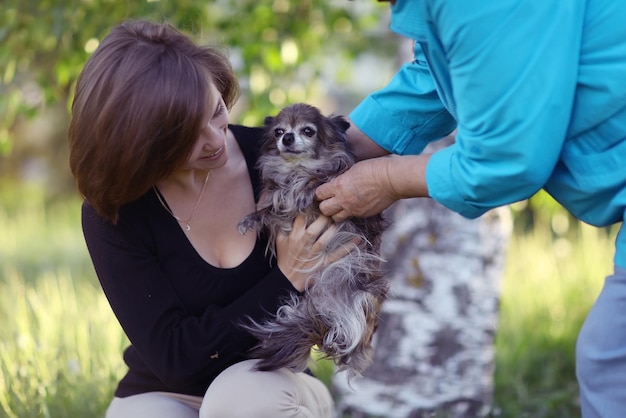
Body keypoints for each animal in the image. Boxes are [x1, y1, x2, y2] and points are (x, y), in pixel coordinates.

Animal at [238, 103, 388, 376]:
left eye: (307, 131)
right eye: (278, 132)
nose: (287, 138)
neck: (297, 168)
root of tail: (324, 306)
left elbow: (318, 182)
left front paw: (307, 189)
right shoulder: (281, 204)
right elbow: (272, 207)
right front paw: (250, 219)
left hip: (364, 292)